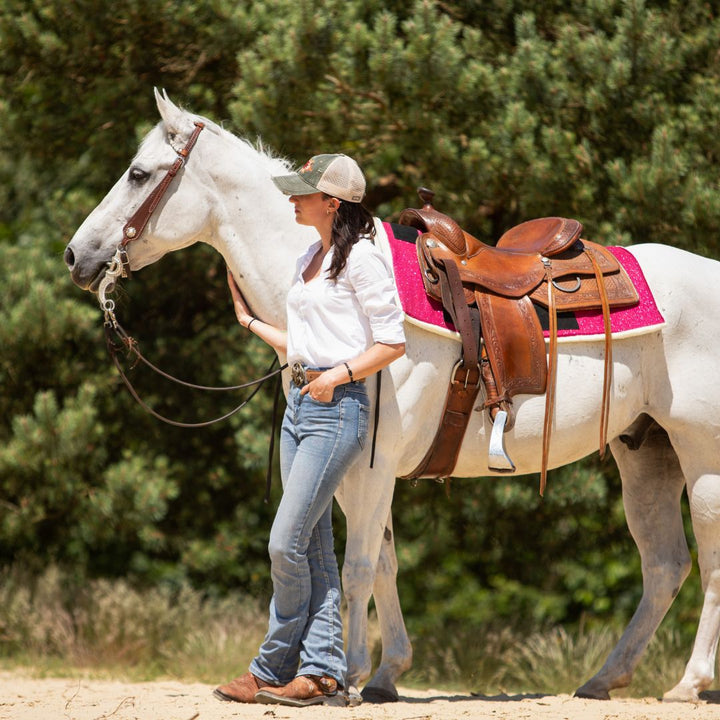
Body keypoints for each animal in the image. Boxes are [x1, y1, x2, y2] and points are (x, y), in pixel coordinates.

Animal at [66, 91, 720, 704]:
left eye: (139, 174)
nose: (76, 255)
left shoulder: (374, 464)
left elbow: (357, 568)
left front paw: (350, 678)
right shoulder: (353, 468)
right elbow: (382, 562)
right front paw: (385, 674)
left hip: (701, 457)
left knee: (708, 559)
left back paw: (688, 683)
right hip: (646, 450)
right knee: (664, 565)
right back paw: (604, 678)